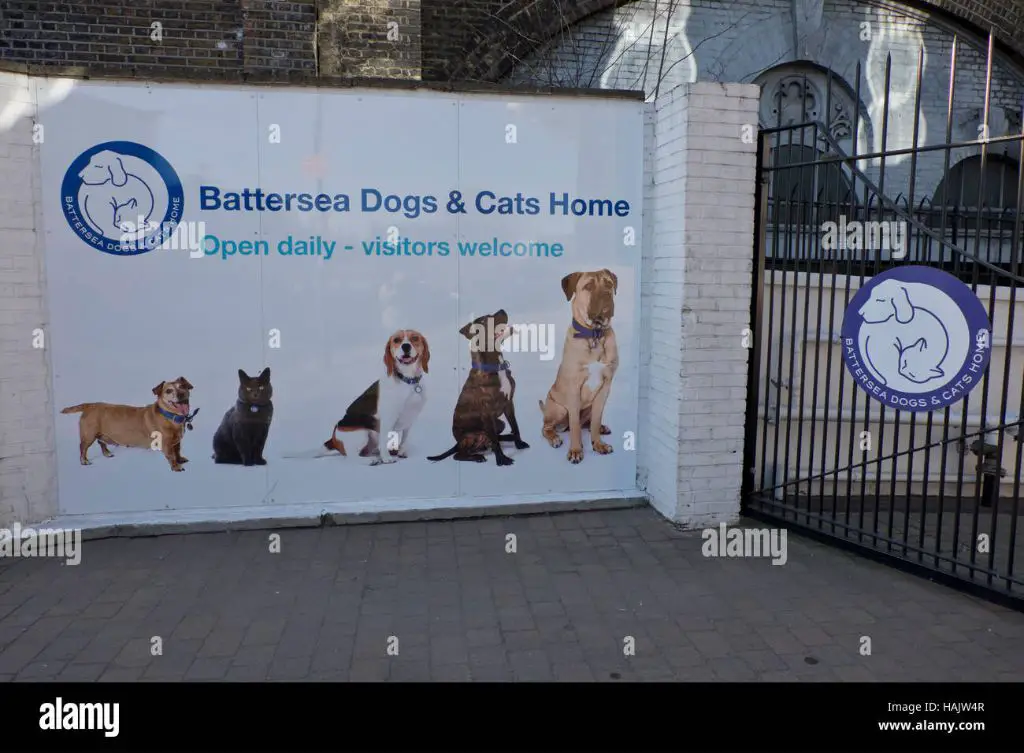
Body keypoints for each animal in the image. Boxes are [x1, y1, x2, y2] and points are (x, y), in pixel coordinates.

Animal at [60, 379, 196, 473]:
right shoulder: (166, 444)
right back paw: (84, 461)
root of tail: (90, 405)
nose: (181, 394)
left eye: (182, 386)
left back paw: (107, 453)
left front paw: (180, 459)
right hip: (88, 436)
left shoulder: (176, 442)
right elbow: (171, 456)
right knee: (83, 447)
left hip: (102, 434)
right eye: (168, 391)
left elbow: (177, 451)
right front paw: (176, 467)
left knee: (101, 442)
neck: (170, 416)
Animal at [428, 311, 532, 465]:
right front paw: (501, 459)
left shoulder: (509, 403)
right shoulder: (487, 412)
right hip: (470, 436)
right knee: (459, 454)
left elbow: (515, 426)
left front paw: (519, 443)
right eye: (483, 321)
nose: (502, 310)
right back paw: (477, 457)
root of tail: (457, 443)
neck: (496, 366)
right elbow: (495, 439)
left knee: (497, 436)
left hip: (499, 423)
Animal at [540, 268, 618, 463]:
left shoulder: (605, 388)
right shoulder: (574, 388)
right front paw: (576, 450)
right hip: (559, 409)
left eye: (609, 284)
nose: (607, 294)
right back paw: (554, 438)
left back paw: (600, 428)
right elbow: (574, 424)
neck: (595, 334)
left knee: (588, 423)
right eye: (588, 286)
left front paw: (598, 444)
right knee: (547, 427)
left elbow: (596, 420)